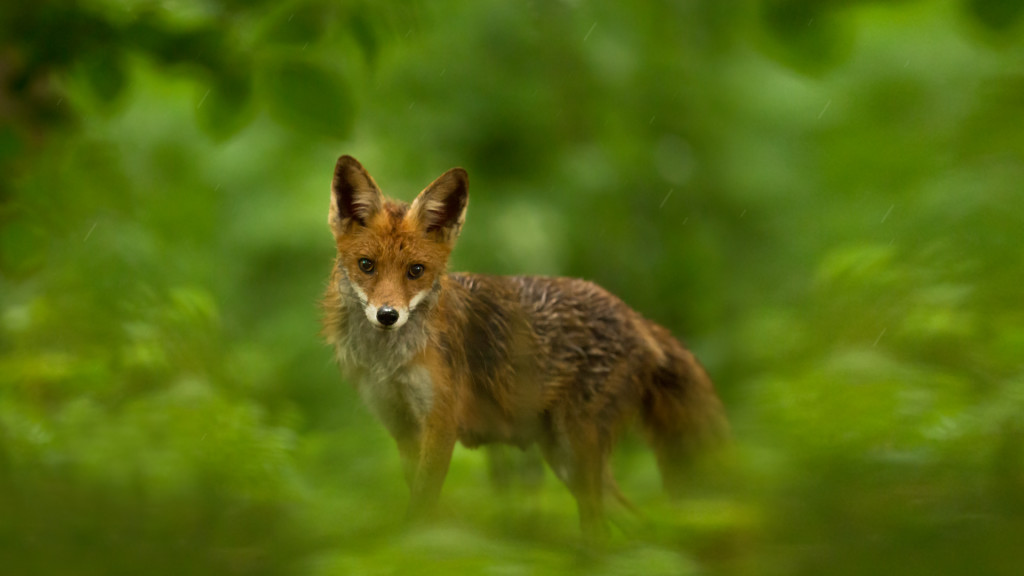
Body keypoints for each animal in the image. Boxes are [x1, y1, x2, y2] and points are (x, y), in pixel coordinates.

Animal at [321, 154, 729, 537]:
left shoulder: (441, 422)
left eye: (416, 271)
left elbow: (422, 505)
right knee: (639, 526)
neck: (389, 360)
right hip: (564, 459)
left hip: (577, 450)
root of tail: (637, 317)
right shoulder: (400, 425)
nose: (388, 315)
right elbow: (421, 506)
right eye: (367, 265)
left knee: (601, 529)